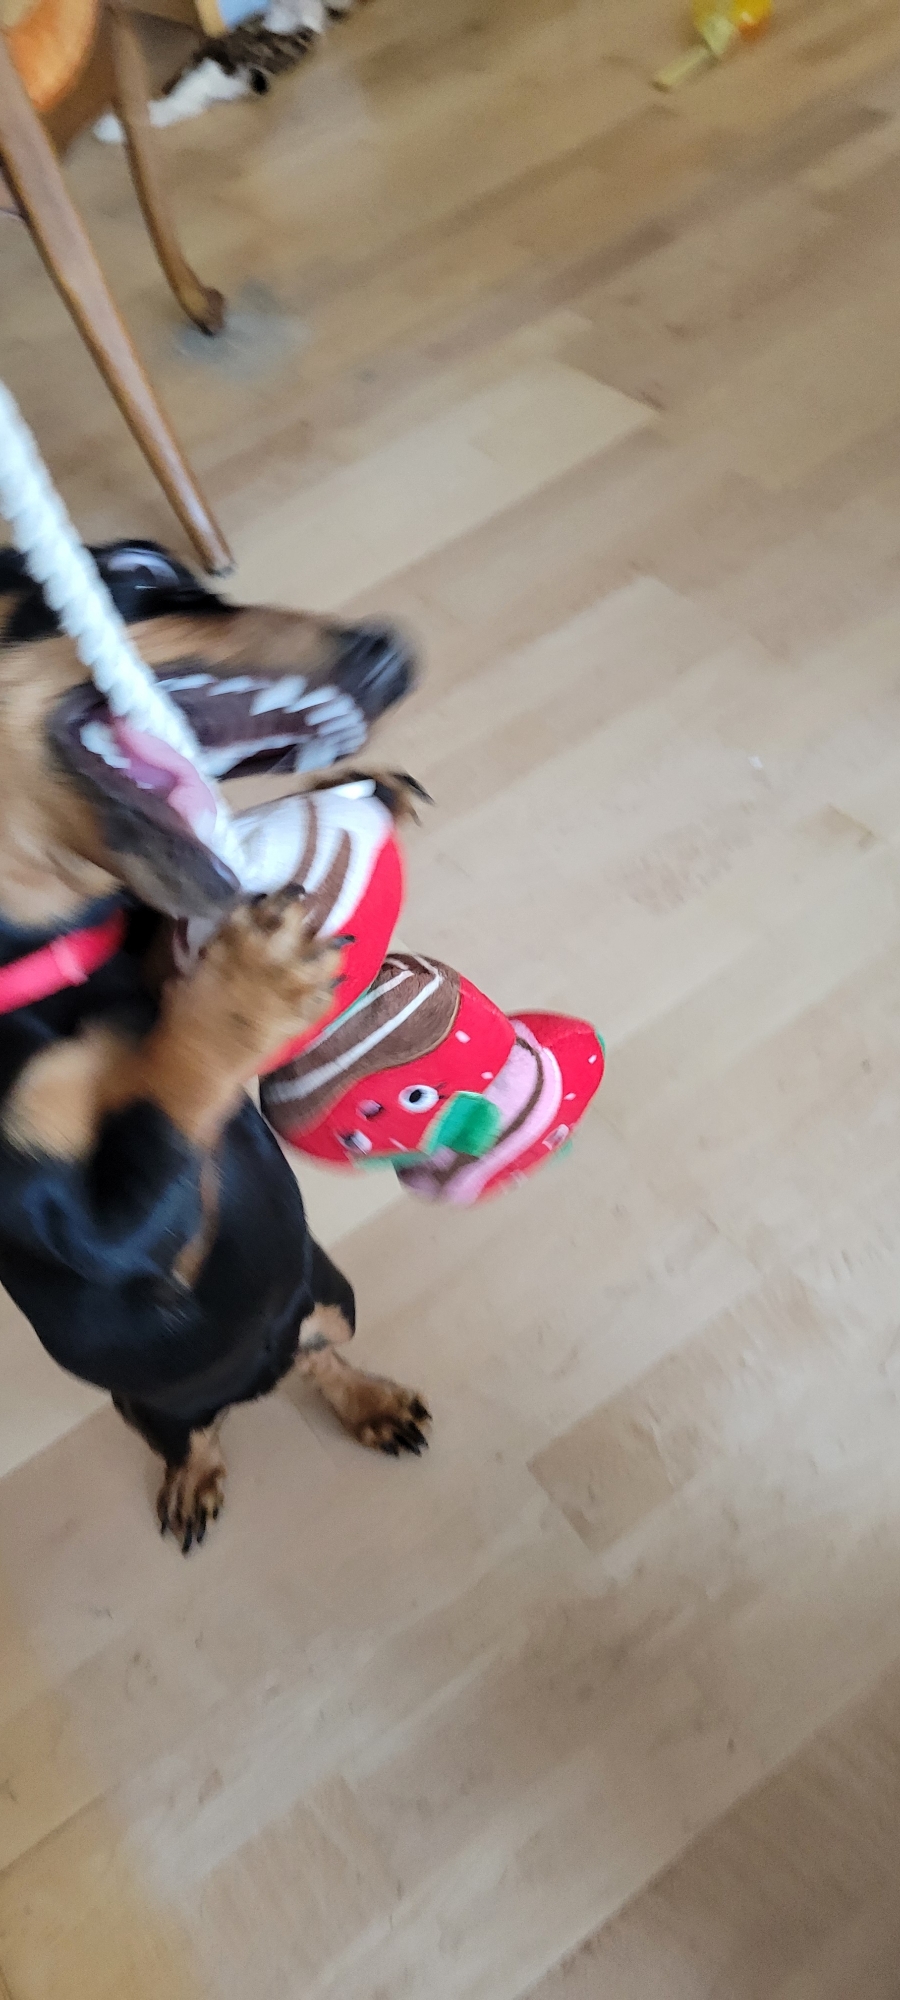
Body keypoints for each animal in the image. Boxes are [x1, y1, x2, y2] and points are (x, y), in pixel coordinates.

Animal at [0, 540, 430, 1550]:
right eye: (138, 573)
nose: (394, 654)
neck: (61, 964)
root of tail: (255, 1376)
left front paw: (345, 794)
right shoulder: (96, 1230)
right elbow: (167, 1090)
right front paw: (249, 983)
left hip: (328, 1300)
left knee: (320, 1358)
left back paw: (370, 1403)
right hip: (147, 1404)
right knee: (192, 1435)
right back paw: (193, 1478)